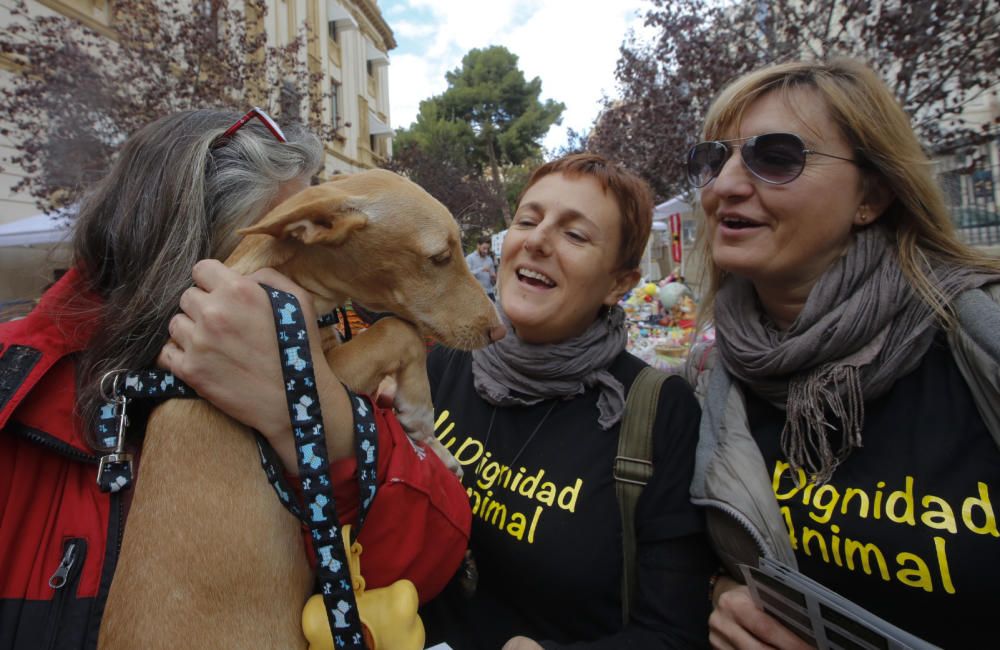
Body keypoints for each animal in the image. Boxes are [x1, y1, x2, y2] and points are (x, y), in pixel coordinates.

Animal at [98, 170, 504, 644]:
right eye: (439, 256)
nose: (498, 331)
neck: (273, 283)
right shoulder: (319, 372)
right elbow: (396, 329)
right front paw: (420, 415)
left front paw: (436, 450)